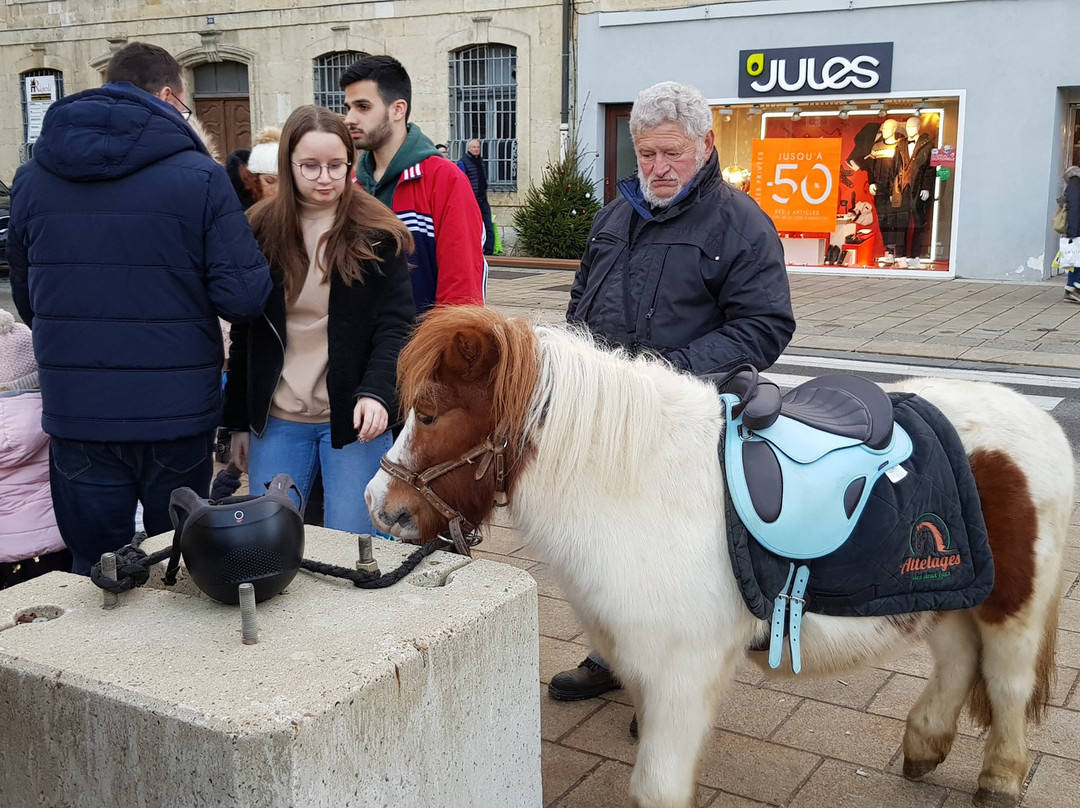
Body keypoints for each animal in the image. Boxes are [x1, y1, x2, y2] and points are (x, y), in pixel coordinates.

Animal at [365, 304, 1071, 808]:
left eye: (429, 414)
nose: (380, 506)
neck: (641, 485)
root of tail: (1039, 422)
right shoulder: (645, 666)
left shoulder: (684, 669)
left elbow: (658, 787)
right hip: (945, 590)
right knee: (957, 660)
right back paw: (925, 747)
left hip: (1014, 602)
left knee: (1005, 681)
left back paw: (1000, 781)